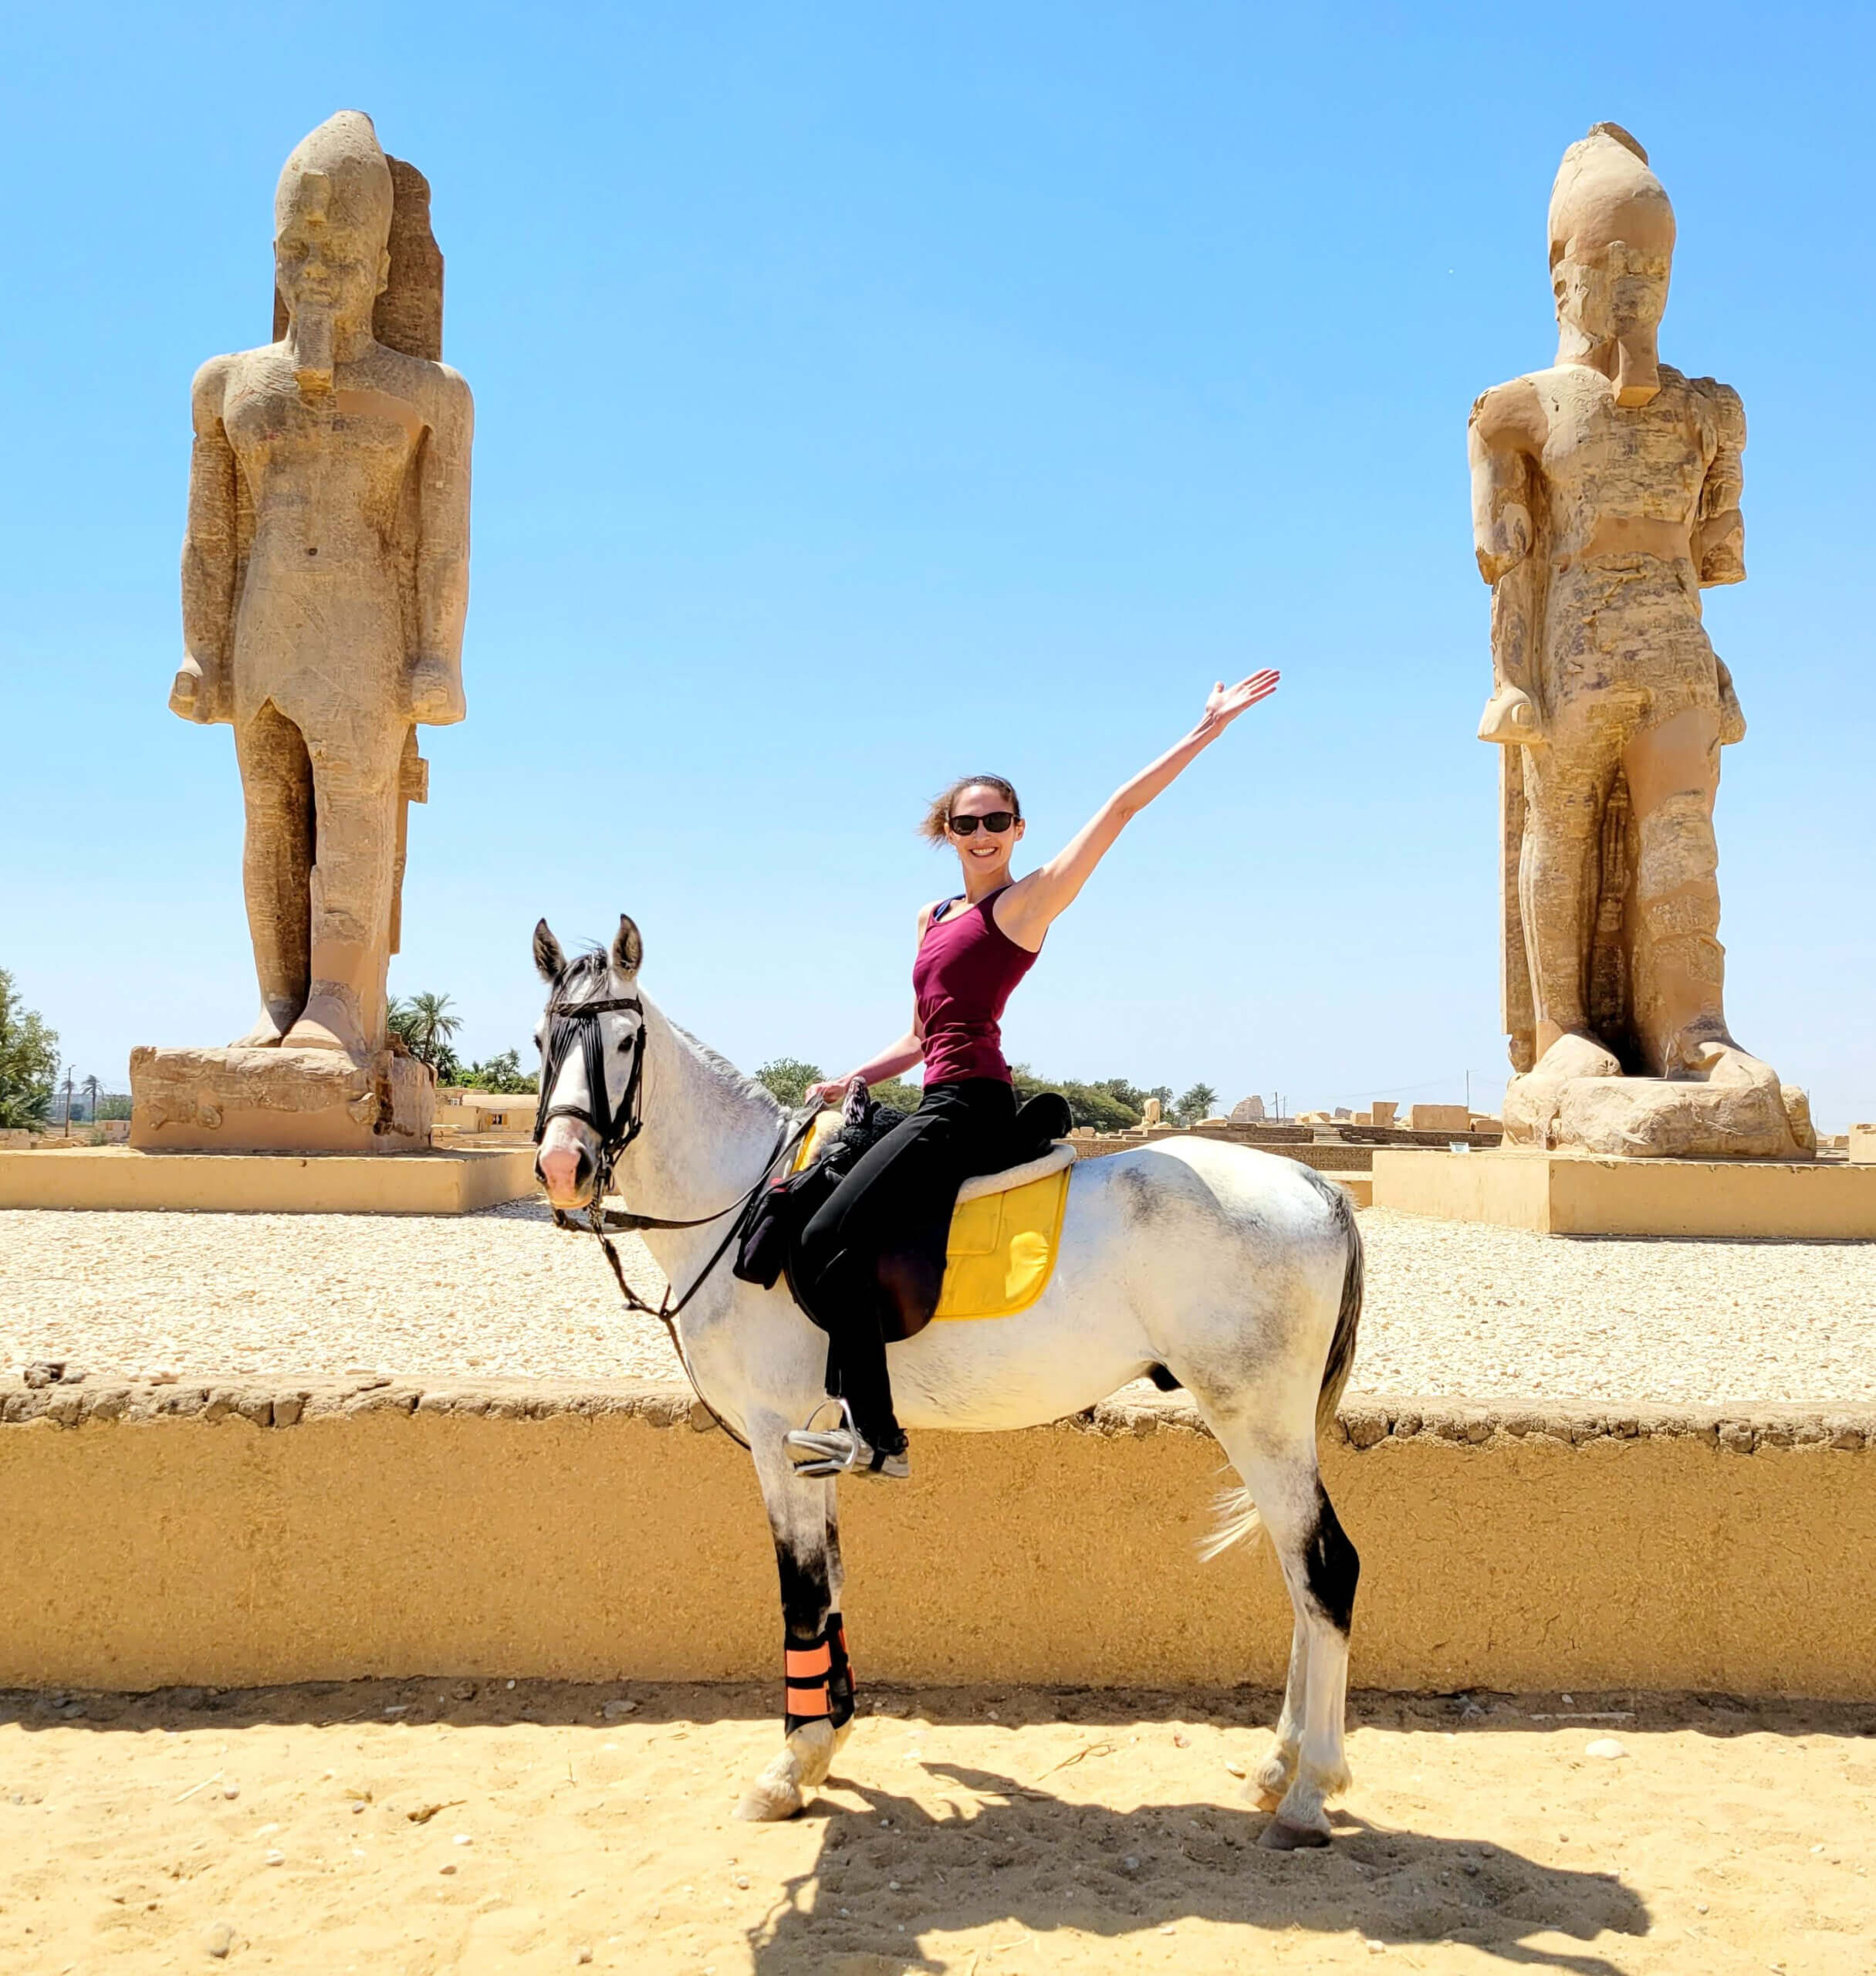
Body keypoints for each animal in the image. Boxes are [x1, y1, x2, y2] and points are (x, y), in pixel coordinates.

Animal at [529, 916, 1366, 1841]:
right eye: (539, 1040)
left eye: (626, 1038)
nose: (564, 1166)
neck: (747, 1198)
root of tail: (1312, 1183)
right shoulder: (816, 1439)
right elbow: (833, 1583)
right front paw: (826, 1738)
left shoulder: (776, 1435)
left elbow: (801, 1594)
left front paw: (789, 1767)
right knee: (1295, 1574)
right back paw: (1278, 1766)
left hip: (1258, 1418)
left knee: (1325, 1571)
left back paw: (1308, 1790)